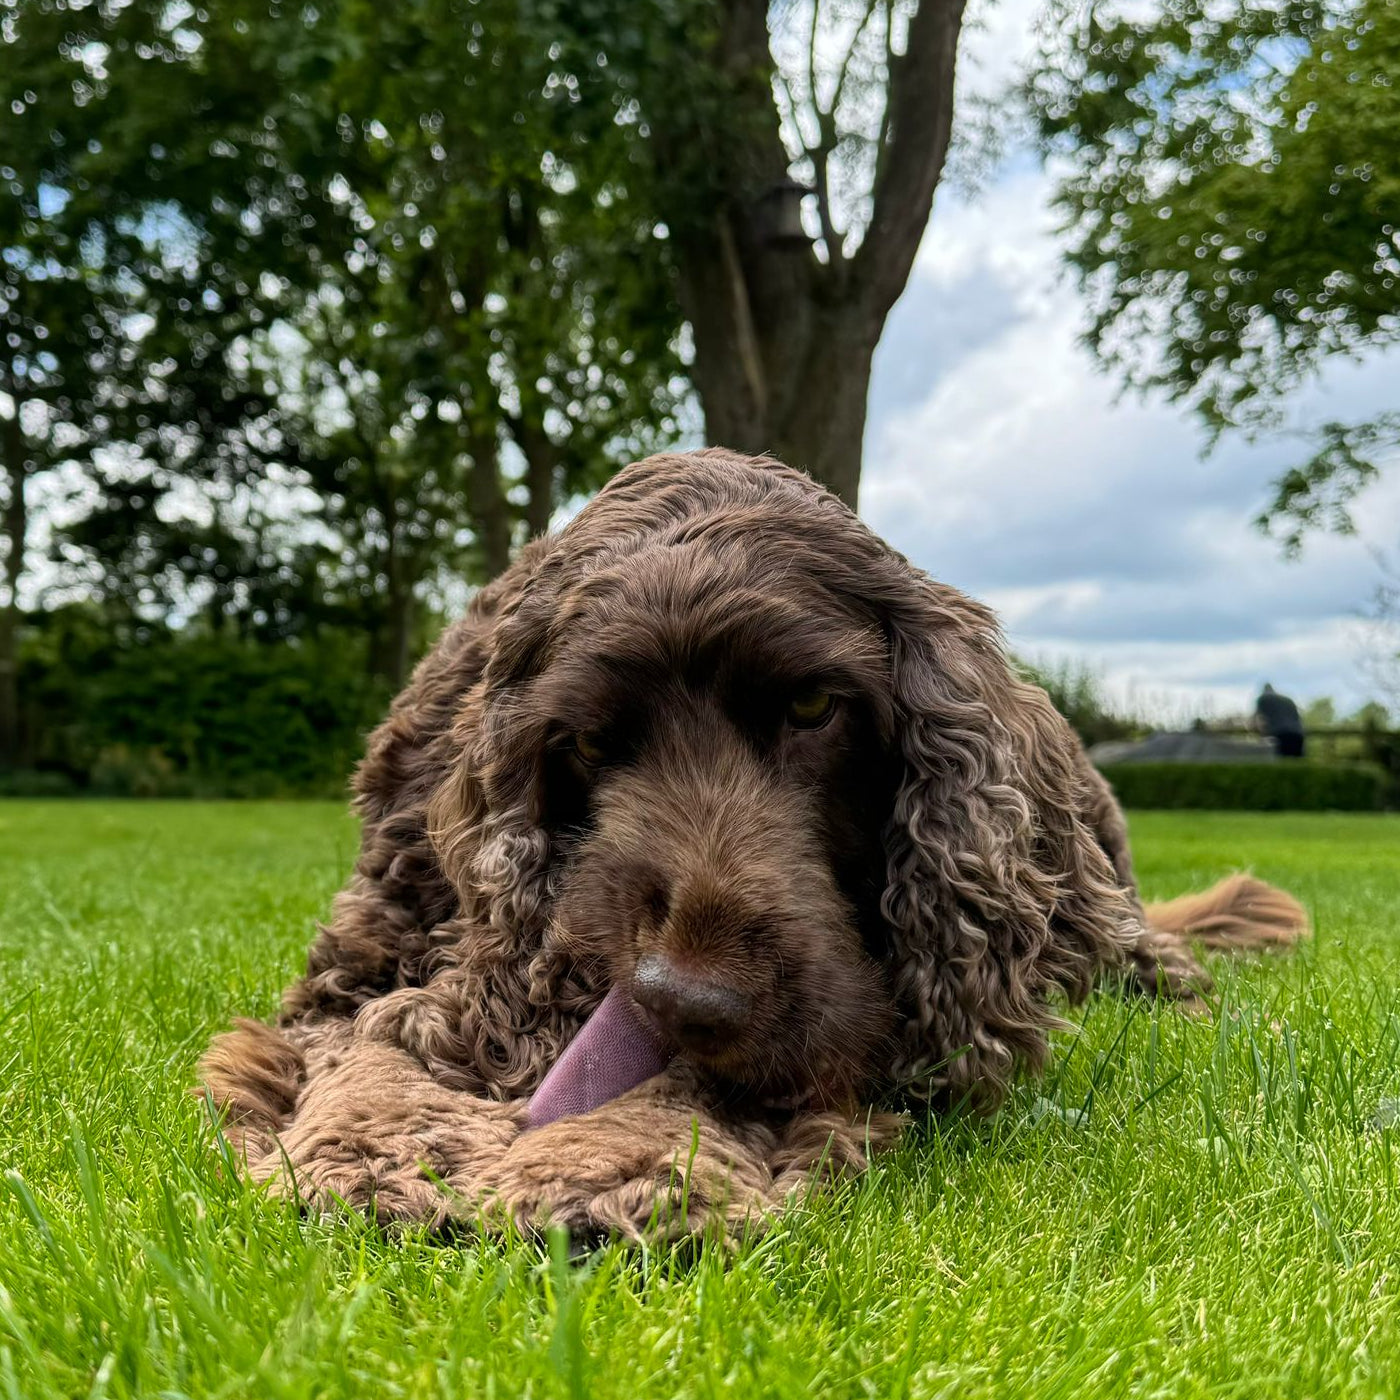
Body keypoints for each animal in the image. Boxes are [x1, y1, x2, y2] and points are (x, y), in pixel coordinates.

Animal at [203, 445, 1304, 1237]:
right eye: (586, 740)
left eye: (815, 706)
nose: (687, 995)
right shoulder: (361, 971)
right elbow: (372, 1048)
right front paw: (389, 1157)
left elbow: (707, 1075)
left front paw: (608, 1160)